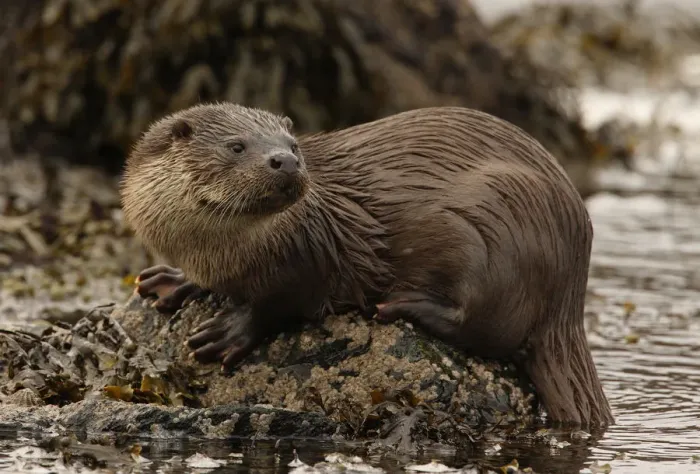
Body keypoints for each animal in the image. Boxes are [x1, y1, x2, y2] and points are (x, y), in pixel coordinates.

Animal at [120, 103, 614, 427]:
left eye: (293, 145)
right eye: (236, 146)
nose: (285, 161)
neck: (210, 249)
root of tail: (570, 295)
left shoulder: (308, 253)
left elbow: (278, 302)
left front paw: (228, 333)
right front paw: (172, 281)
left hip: (498, 231)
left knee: (488, 327)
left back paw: (402, 305)